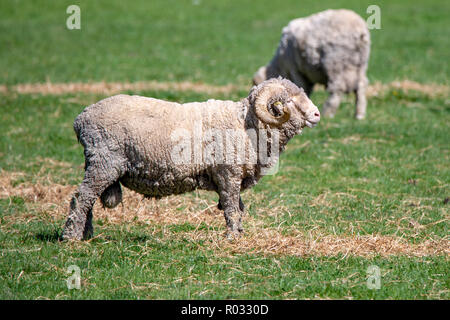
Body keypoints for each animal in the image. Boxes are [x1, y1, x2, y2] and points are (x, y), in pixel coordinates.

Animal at [61, 79, 320, 241]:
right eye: (289, 101)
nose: (317, 114)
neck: (246, 124)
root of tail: (80, 120)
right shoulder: (228, 174)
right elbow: (231, 208)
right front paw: (232, 237)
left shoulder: (232, 177)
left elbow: (238, 207)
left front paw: (239, 233)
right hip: (103, 162)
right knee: (82, 198)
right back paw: (71, 237)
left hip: (97, 164)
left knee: (87, 200)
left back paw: (86, 234)